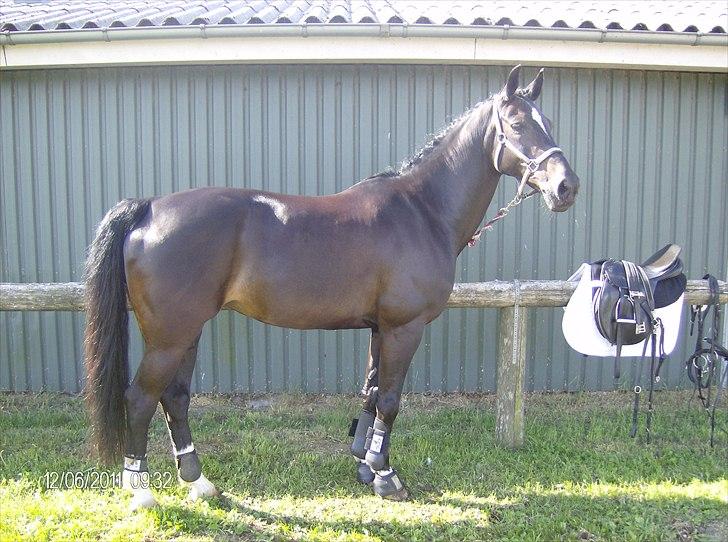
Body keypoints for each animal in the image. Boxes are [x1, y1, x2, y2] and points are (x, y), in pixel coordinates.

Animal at [81, 66, 580, 512]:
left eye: (550, 123)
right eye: (517, 124)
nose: (567, 187)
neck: (421, 211)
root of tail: (149, 208)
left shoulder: (380, 328)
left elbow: (372, 395)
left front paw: (365, 466)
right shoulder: (404, 328)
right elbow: (391, 400)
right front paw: (386, 476)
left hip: (187, 333)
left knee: (175, 398)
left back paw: (199, 483)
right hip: (169, 337)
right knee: (140, 399)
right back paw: (141, 491)